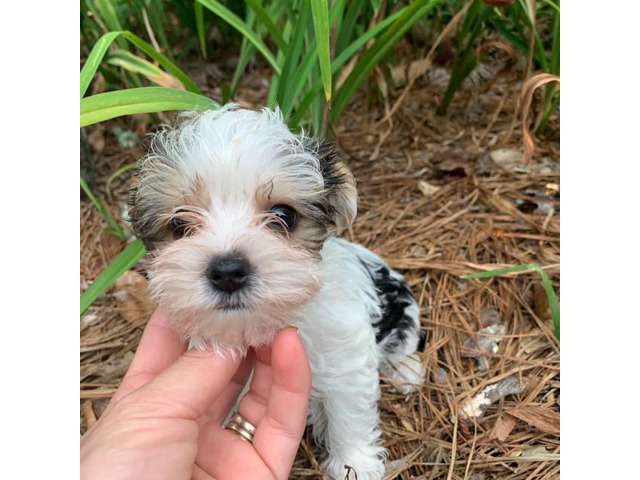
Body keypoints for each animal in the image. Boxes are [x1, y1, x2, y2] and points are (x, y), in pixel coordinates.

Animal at [127, 105, 424, 480]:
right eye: (179, 225)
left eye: (284, 214)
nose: (227, 271)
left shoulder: (345, 359)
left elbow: (348, 411)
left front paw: (355, 463)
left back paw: (406, 371)